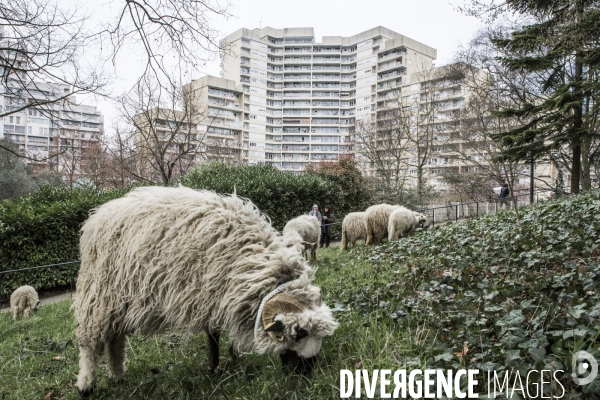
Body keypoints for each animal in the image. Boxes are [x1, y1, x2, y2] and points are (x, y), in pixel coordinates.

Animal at [74, 186, 338, 396]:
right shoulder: (209, 292)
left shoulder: (221, 294)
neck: (249, 262)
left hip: (119, 300)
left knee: (115, 339)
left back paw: (117, 375)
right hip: (99, 293)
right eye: (300, 333)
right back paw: (86, 385)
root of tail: (98, 215)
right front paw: (214, 368)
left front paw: (231, 356)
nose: (306, 373)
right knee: (89, 341)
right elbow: (213, 335)